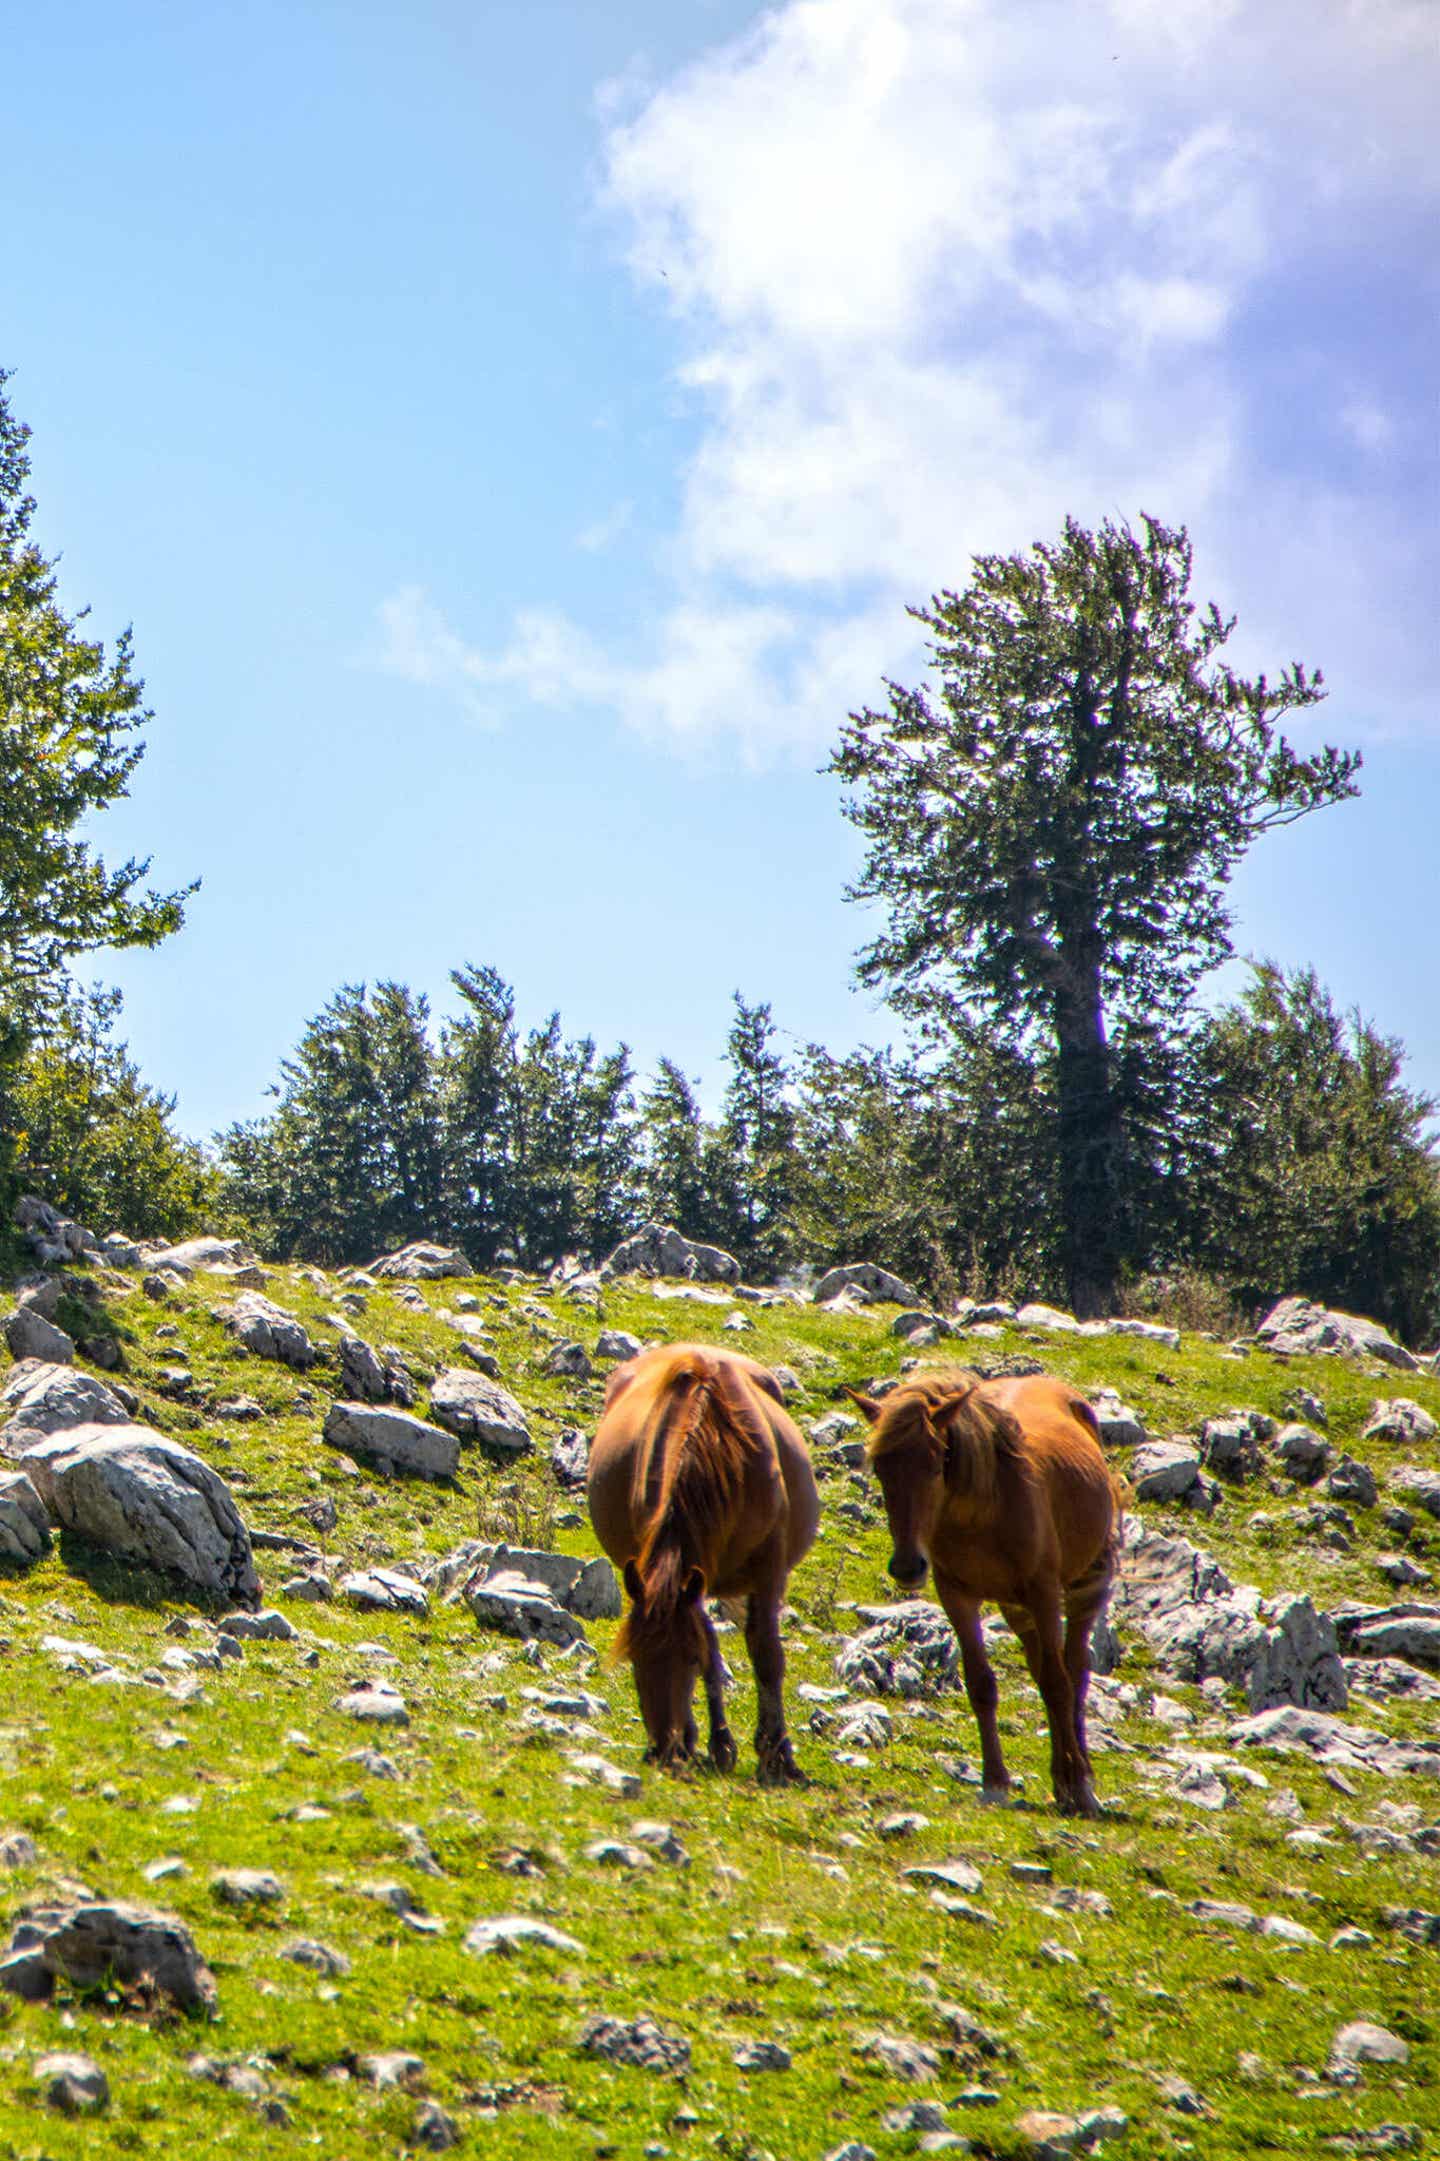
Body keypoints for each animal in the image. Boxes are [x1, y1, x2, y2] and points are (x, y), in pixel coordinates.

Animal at [588, 1339, 812, 1780]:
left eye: (688, 1660)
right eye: (634, 1658)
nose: (662, 1748)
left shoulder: (768, 1569)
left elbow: (766, 1654)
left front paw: (777, 1753)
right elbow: (710, 1642)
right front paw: (714, 1742)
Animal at [851, 1374, 1124, 1815]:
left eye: (937, 1462)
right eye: (879, 1467)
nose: (907, 1567)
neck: (982, 1516)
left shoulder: (1044, 1593)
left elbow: (1058, 1685)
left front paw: (1079, 1786)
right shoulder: (957, 1597)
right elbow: (981, 1685)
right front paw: (995, 1782)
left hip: (1085, 1587)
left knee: (1074, 1672)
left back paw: (1079, 1781)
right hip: (1017, 1609)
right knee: (1043, 1667)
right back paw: (1059, 1778)